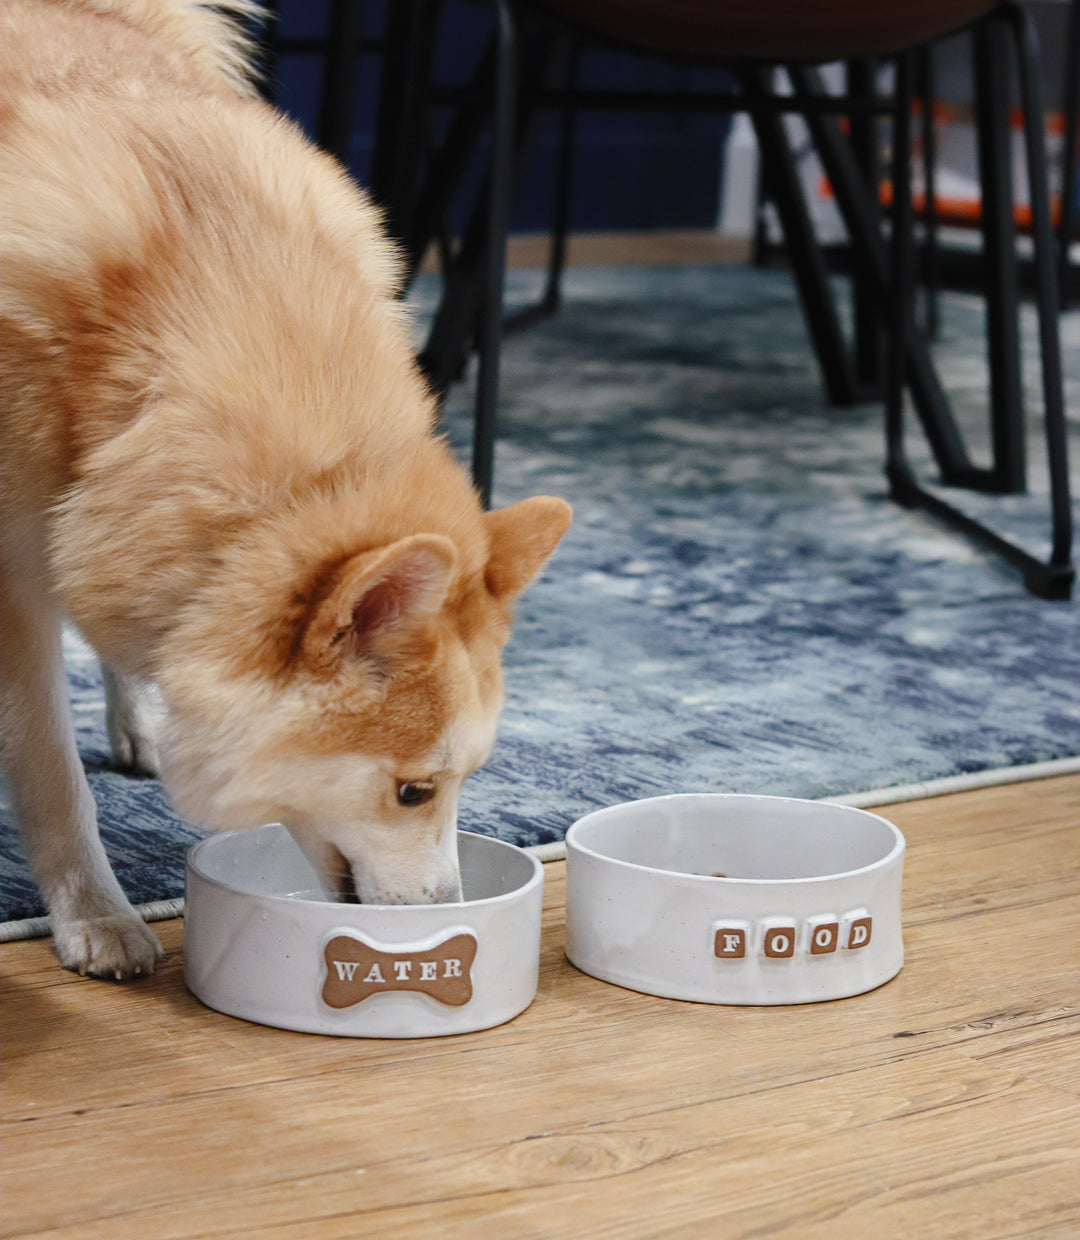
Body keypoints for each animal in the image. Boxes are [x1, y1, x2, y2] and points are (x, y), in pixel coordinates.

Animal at [0, 0, 575, 977]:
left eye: (462, 781)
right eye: (414, 792)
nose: (450, 911)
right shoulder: (13, 586)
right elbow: (50, 774)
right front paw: (95, 913)